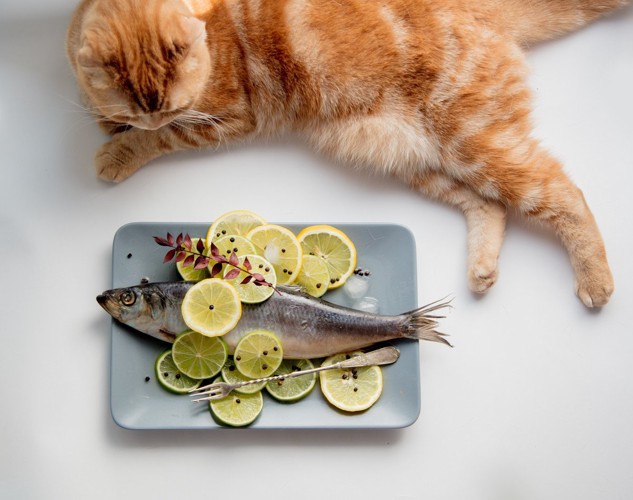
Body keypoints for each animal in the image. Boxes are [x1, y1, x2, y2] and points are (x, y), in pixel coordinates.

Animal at [66, 0, 624, 304]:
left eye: (169, 106)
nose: (152, 115)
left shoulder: (225, 119)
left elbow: (162, 138)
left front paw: (119, 149)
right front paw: (105, 118)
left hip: (476, 142)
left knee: (564, 193)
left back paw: (595, 281)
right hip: (421, 160)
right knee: (487, 205)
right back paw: (482, 269)